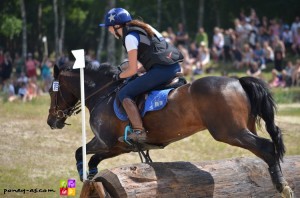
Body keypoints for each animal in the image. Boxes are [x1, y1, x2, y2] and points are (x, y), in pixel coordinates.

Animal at [46, 61, 292, 196]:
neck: (103, 93)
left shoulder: (103, 141)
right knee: (266, 147)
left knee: (267, 147)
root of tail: (238, 81)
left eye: (51, 91)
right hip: (243, 128)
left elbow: (80, 151)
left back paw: (282, 185)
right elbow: (94, 159)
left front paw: (83, 175)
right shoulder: (118, 147)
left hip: (230, 132)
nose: (51, 121)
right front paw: (91, 178)